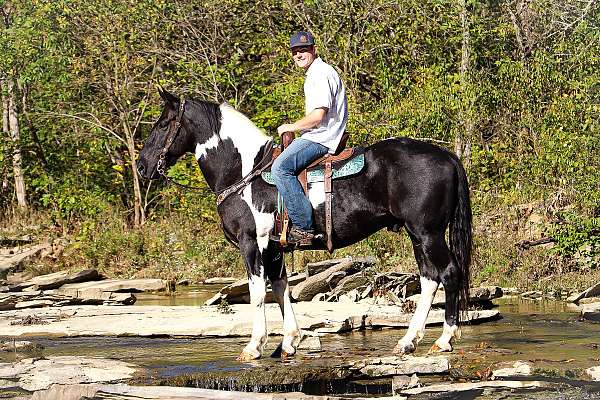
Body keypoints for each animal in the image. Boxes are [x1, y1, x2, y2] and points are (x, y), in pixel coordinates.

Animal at [138, 89, 472, 360]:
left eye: (163, 124)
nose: (142, 166)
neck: (243, 172)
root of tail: (446, 156)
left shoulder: (251, 242)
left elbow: (257, 292)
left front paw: (254, 346)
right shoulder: (274, 248)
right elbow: (280, 288)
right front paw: (288, 342)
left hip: (428, 234)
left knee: (449, 273)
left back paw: (444, 340)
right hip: (417, 235)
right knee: (429, 279)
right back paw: (407, 341)